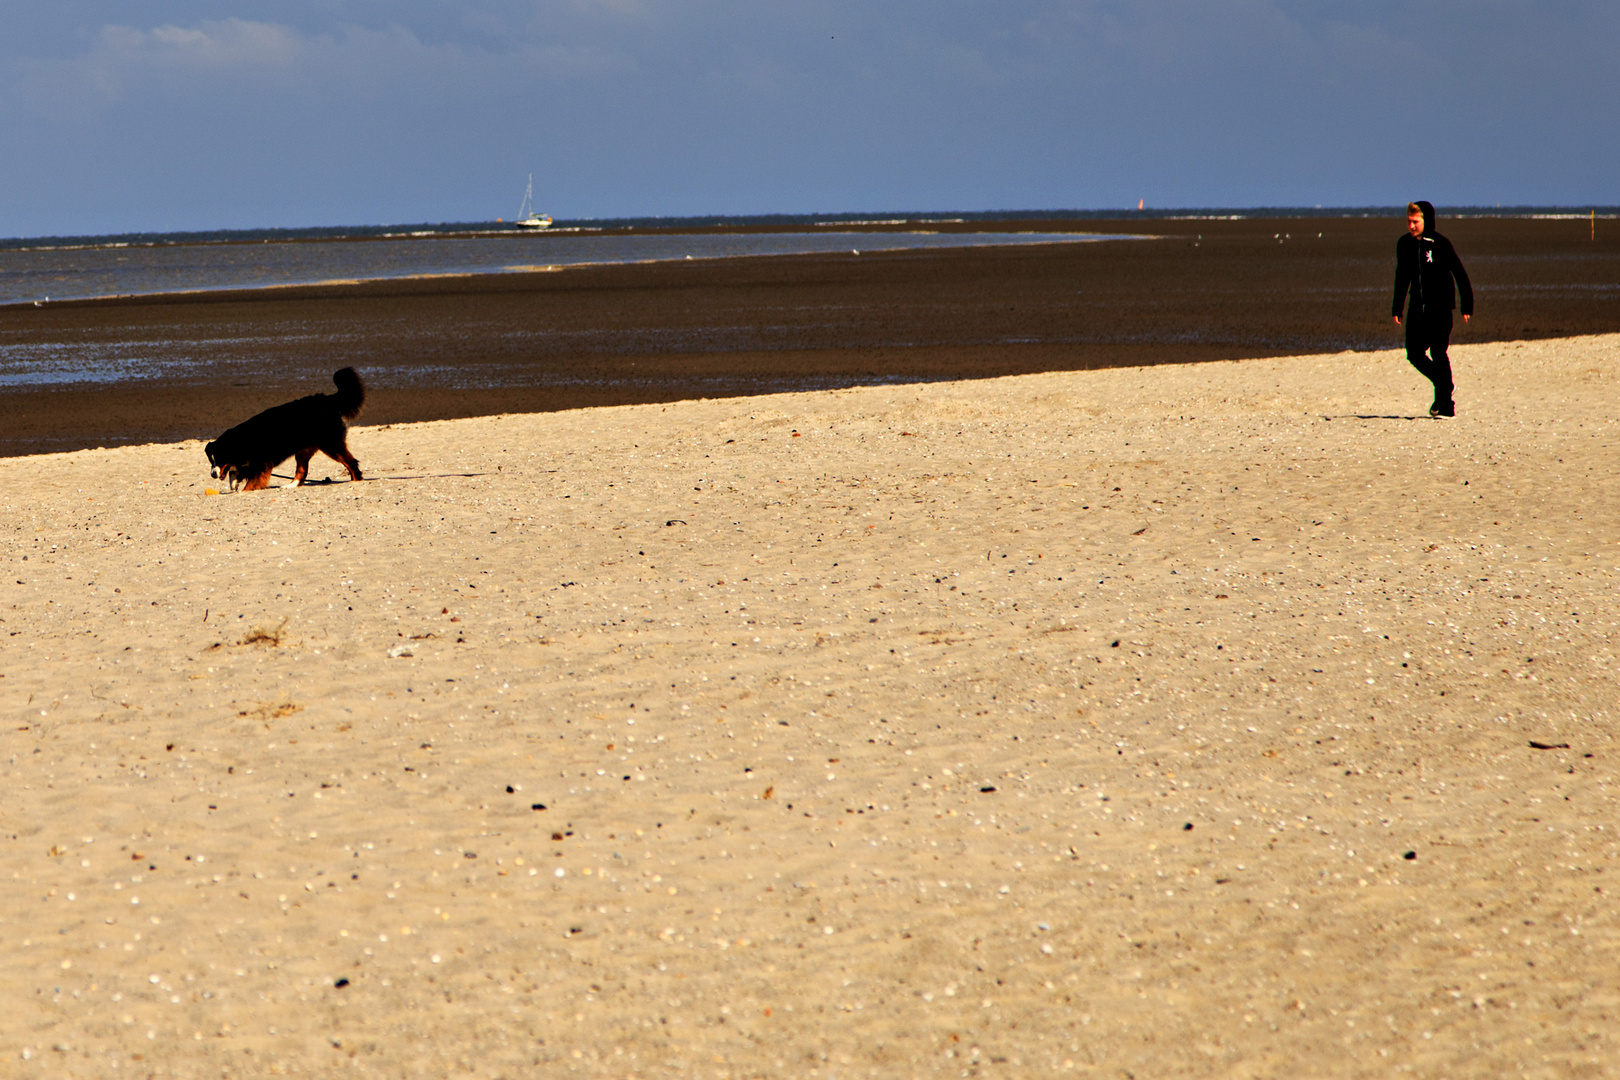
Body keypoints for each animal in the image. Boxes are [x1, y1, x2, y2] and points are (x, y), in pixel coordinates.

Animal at [205, 369, 367, 492]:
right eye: (211, 460)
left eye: (218, 459)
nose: (213, 474)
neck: (240, 440)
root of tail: (327, 399)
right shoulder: (249, 464)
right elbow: (235, 473)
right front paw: (234, 484)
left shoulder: (261, 464)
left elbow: (250, 482)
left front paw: (244, 490)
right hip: (304, 450)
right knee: (302, 471)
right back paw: (290, 486)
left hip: (330, 444)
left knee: (351, 462)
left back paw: (356, 480)